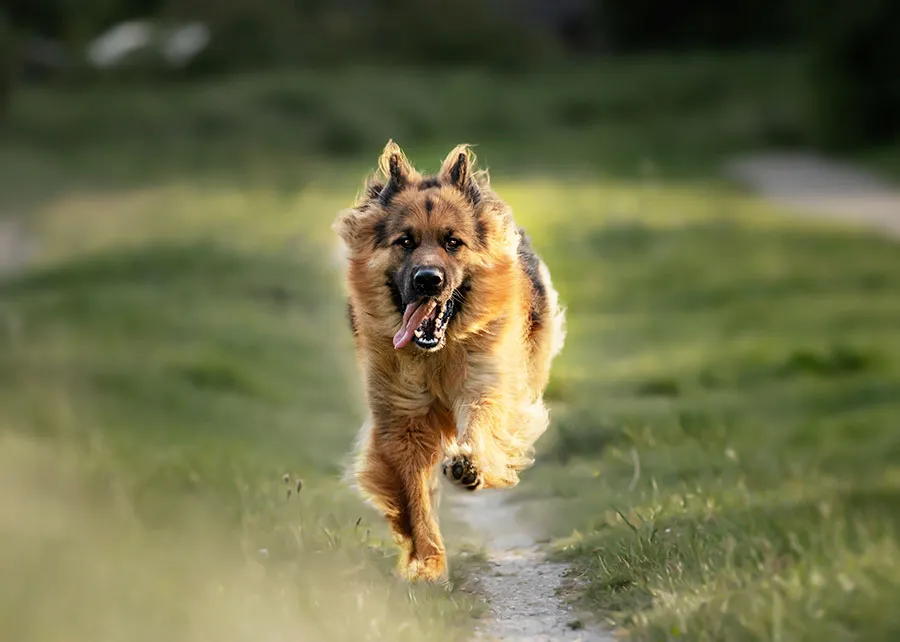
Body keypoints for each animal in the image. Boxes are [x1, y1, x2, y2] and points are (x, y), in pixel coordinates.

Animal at [334, 140, 568, 580]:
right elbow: (415, 496)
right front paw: (428, 562)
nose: (429, 280)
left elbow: (483, 423)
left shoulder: (487, 384)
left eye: (452, 242)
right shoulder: (403, 419)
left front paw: (469, 464)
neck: (436, 354)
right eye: (405, 242)